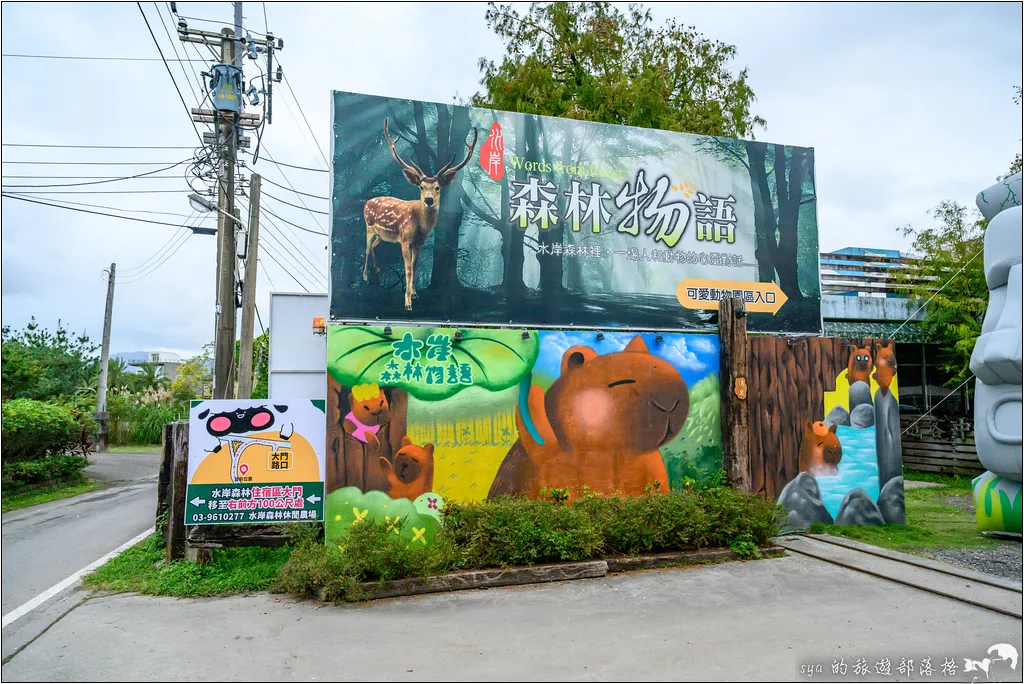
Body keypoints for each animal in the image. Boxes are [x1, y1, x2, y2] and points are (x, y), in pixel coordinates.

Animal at [364, 118, 479, 309]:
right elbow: (408, 268)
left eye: (438, 187)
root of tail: (366, 202)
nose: (429, 200)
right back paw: (365, 276)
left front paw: (414, 293)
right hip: (368, 228)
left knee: (373, 246)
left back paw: (377, 270)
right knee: (366, 248)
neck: (420, 226)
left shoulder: (418, 243)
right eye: (421, 187)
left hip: (382, 235)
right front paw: (407, 302)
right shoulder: (404, 239)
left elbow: (414, 265)